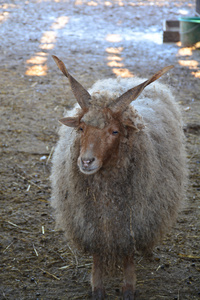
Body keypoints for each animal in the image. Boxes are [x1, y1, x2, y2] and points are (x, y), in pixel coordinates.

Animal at [50, 55, 188, 298]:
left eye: (115, 131)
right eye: (81, 128)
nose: (86, 161)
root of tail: (124, 79)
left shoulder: (130, 221)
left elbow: (128, 255)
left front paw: (128, 288)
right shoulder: (92, 222)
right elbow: (97, 254)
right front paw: (97, 287)